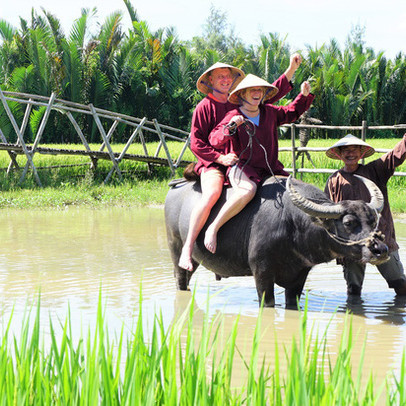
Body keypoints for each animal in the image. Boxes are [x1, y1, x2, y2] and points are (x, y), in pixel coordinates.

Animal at [163, 175, 388, 308]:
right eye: (348, 223)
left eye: (372, 220)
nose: (381, 249)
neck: (291, 224)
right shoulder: (261, 271)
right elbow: (268, 302)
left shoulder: (300, 275)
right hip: (175, 248)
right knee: (180, 279)